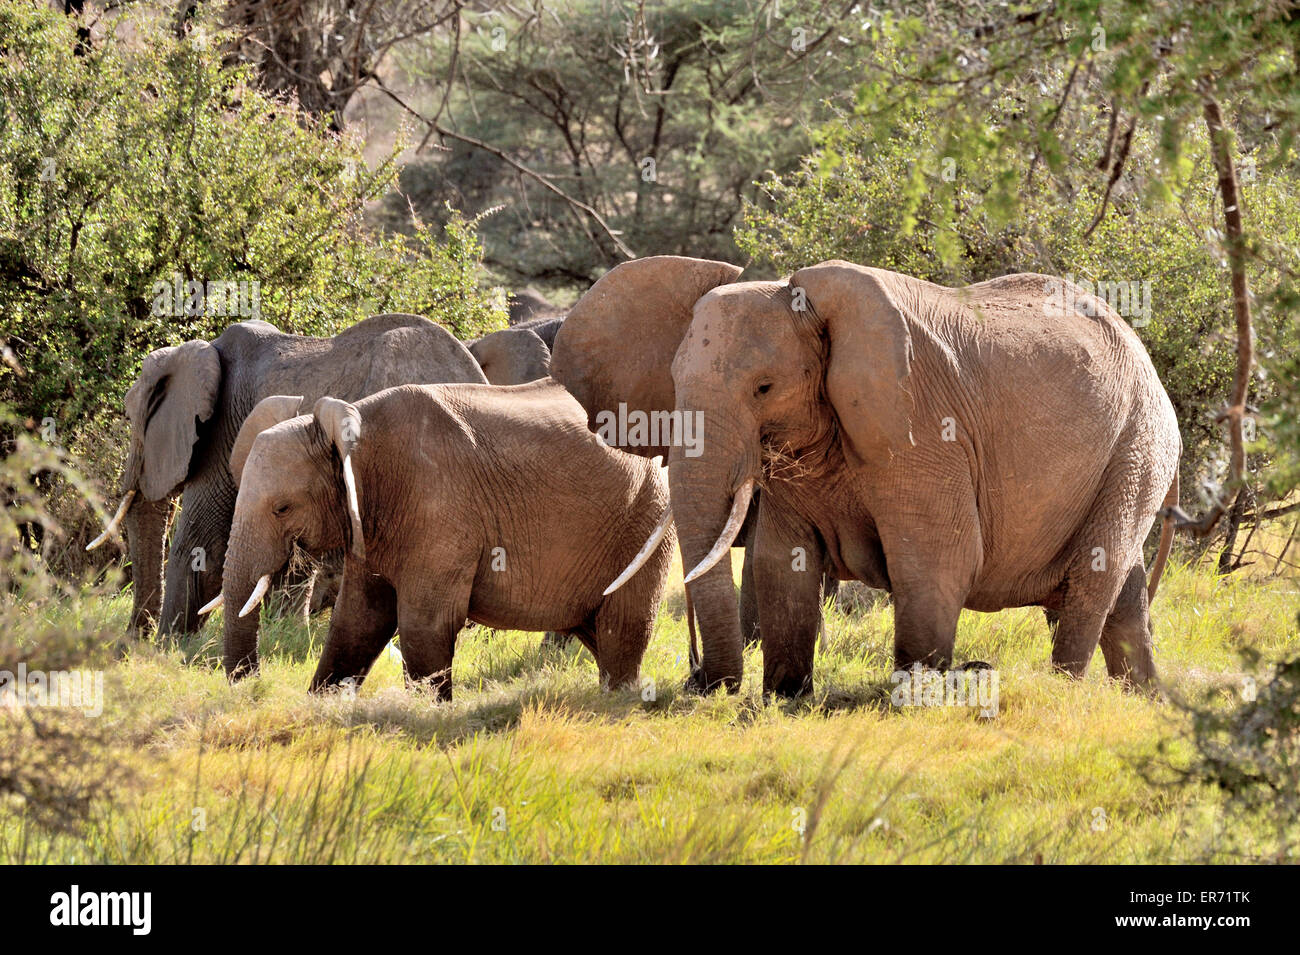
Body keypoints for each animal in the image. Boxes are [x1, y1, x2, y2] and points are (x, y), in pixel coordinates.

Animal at [89, 317, 488, 639]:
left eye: (130, 416)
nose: (131, 640)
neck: (201, 351)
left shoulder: (222, 432)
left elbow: (203, 543)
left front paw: (168, 649)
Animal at [208, 376, 676, 696]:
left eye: (282, 508)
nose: (252, 685)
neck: (351, 427)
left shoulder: (439, 509)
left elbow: (422, 625)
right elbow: (356, 621)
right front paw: (321, 704)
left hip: (646, 516)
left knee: (622, 630)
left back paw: (618, 700)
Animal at [556, 257, 1180, 696]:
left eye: (763, 388)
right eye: (672, 383)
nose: (701, 683)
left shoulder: (924, 428)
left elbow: (939, 558)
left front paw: (916, 696)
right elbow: (781, 561)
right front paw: (785, 699)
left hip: (1137, 446)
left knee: (1093, 576)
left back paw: (1064, 689)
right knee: (1121, 590)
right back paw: (1141, 697)